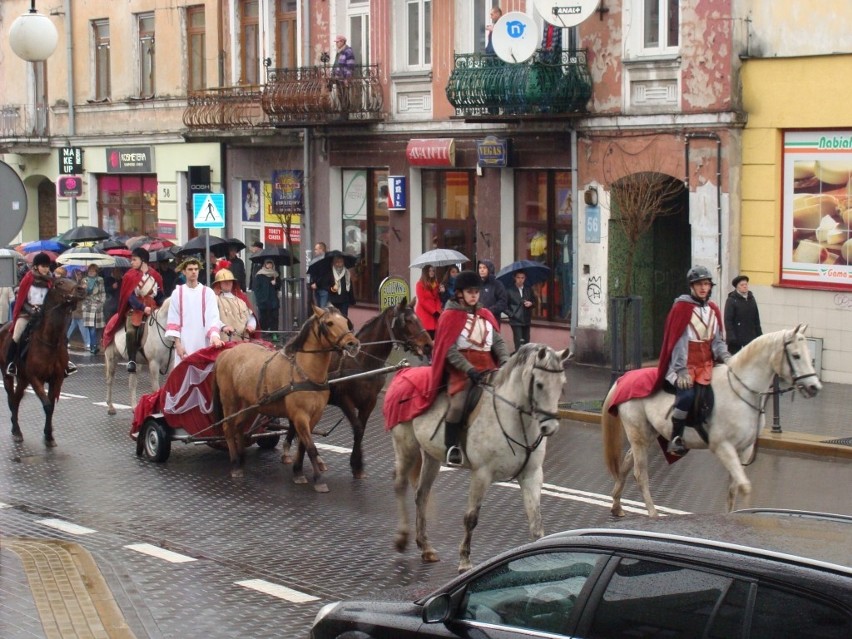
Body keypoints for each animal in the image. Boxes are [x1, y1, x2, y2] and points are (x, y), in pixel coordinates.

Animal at [0, 278, 86, 448]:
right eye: (60, 283)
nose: (81, 289)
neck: (49, 341)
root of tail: (4, 326)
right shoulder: (35, 379)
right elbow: (47, 405)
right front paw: (48, 435)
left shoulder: (56, 379)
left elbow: (51, 406)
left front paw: (49, 435)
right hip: (8, 376)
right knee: (12, 399)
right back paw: (17, 431)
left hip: (23, 379)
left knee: (16, 399)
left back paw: (16, 429)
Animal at [213, 304, 362, 490]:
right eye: (329, 323)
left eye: (345, 321)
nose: (353, 344)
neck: (304, 371)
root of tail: (227, 352)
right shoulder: (300, 416)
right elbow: (311, 447)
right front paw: (318, 480)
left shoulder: (314, 416)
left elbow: (303, 446)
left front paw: (298, 472)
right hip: (230, 400)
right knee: (228, 428)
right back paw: (234, 464)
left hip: (251, 404)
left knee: (240, 427)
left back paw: (241, 460)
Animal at [282, 298, 432, 478]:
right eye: (407, 321)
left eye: (418, 318)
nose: (429, 345)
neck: (362, 362)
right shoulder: (344, 400)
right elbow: (358, 429)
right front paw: (356, 463)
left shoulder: (369, 402)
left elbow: (361, 429)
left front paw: (357, 465)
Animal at [392, 344, 564, 576]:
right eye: (539, 384)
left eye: (562, 384)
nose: (550, 428)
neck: (513, 419)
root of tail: (403, 371)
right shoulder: (481, 474)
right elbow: (471, 518)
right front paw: (465, 561)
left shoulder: (532, 475)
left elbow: (536, 523)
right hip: (406, 446)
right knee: (400, 486)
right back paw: (402, 538)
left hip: (431, 456)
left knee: (422, 494)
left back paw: (426, 547)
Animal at [604, 324, 824, 520]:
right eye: (796, 355)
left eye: (807, 354)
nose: (814, 387)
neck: (740, 391)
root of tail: (623, 379)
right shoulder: (723, 447)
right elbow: (745, 487)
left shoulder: (744, 450)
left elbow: (733, 489)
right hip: (638, 434)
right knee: (640, 474)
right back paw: (652, 513)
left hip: (648, 434)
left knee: (626, 464)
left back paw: (616, 506)